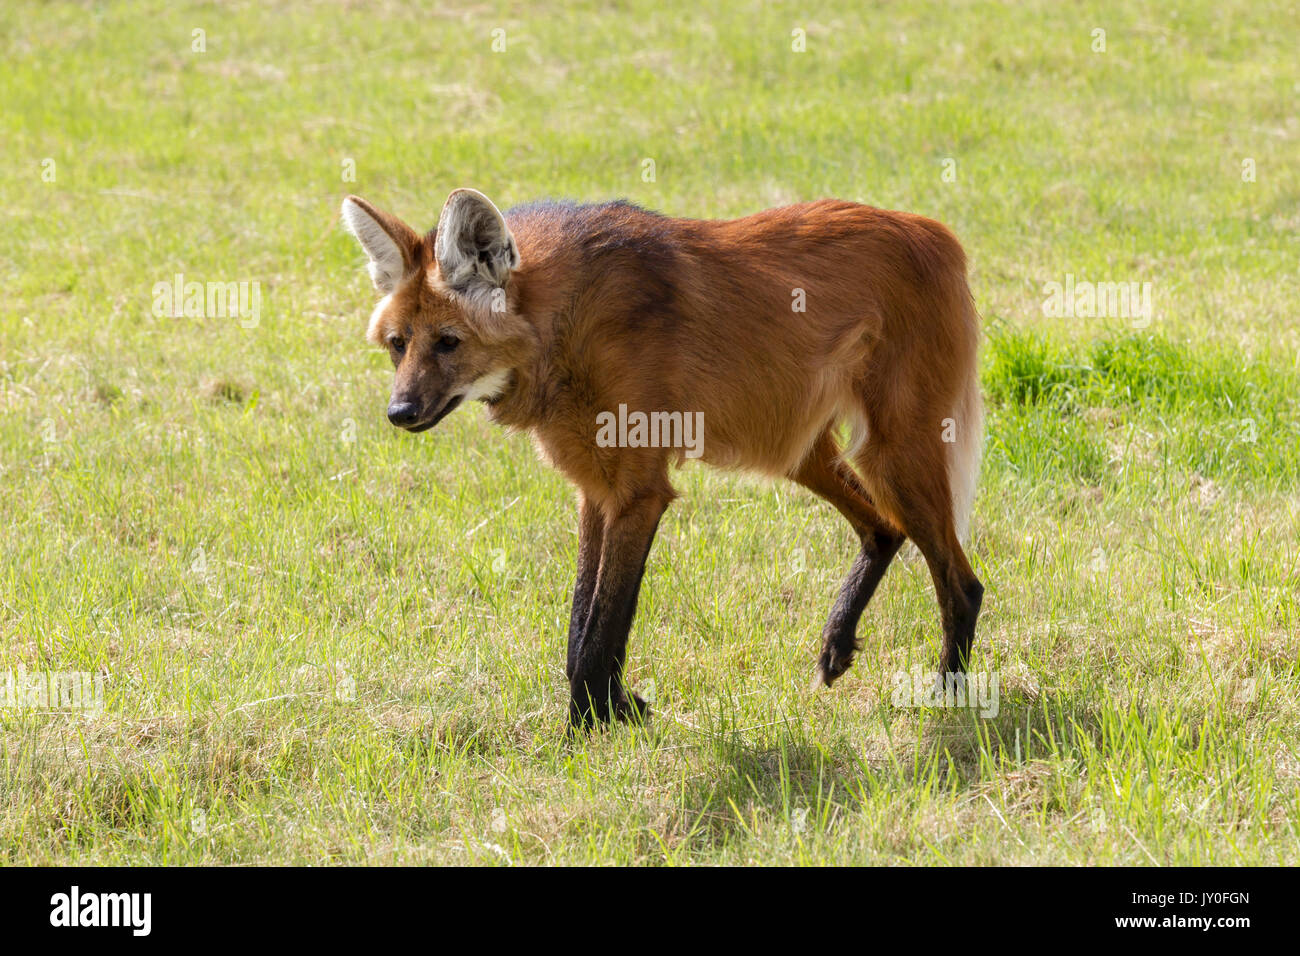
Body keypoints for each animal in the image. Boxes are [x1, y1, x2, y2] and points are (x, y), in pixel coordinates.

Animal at [340, 188, 977, 733]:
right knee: (884, 528)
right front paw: (618, 712)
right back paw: (839, 644)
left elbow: (598, 632)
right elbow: (584, 626)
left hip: (891, 451)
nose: (399, 412)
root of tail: (933, 230)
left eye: (449, 342)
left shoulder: (639, 491)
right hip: (799, 450)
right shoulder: (596, 490)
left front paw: (584, 738)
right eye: (398, 345)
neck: (564, 325)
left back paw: (948, 698)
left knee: (962, 581)